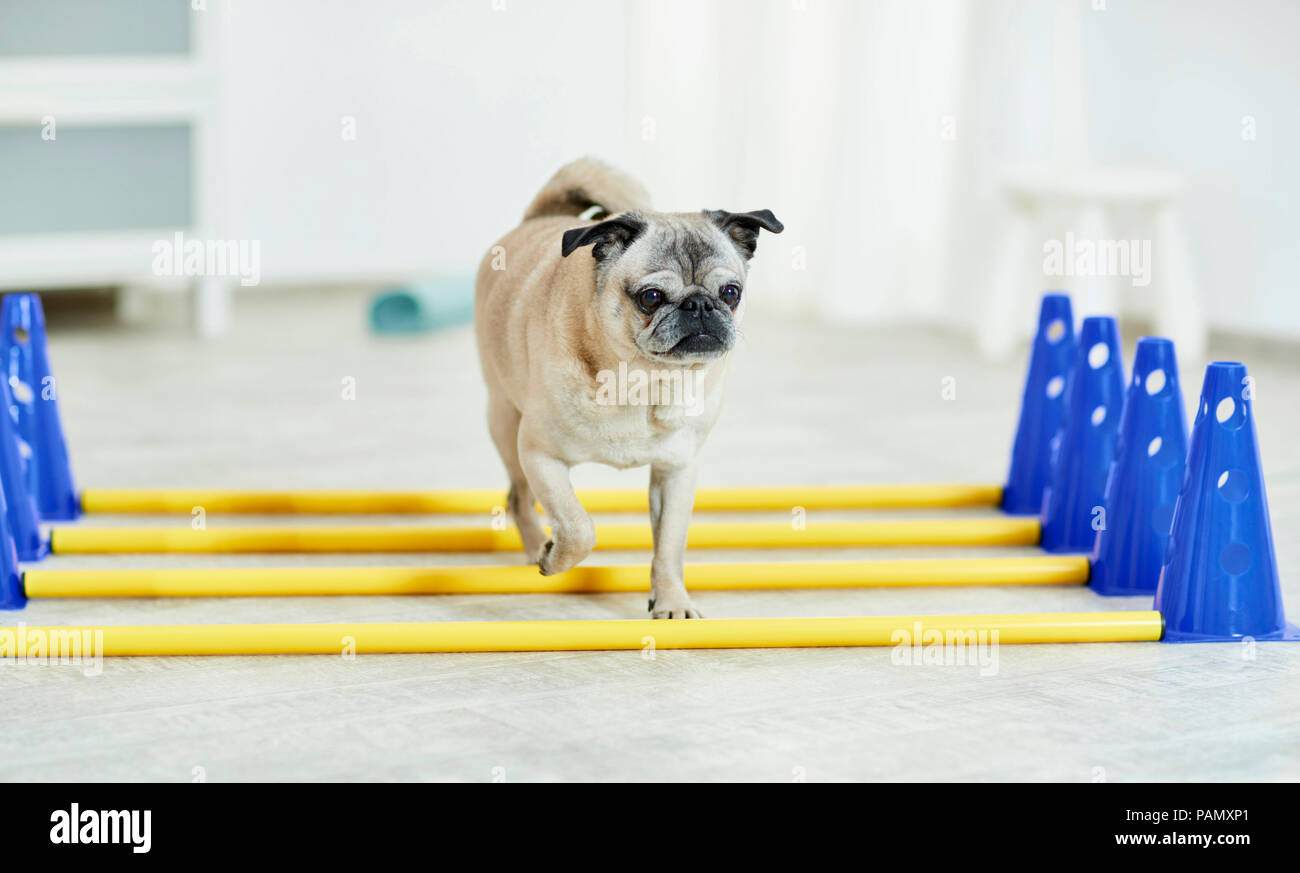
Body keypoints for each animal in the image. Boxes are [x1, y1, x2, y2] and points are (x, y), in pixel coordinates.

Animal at [478, 158, 780, 620]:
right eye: (651, 297)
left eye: (731, 293)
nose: (699, 304)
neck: (643, 380)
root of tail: (540, 217)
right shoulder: (540, 455)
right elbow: (578, 528)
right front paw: (555, 556)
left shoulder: (677, 472)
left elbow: (670, 546)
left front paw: (671, 601)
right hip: (505, 422)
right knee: (519, 497)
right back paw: (535, 549)